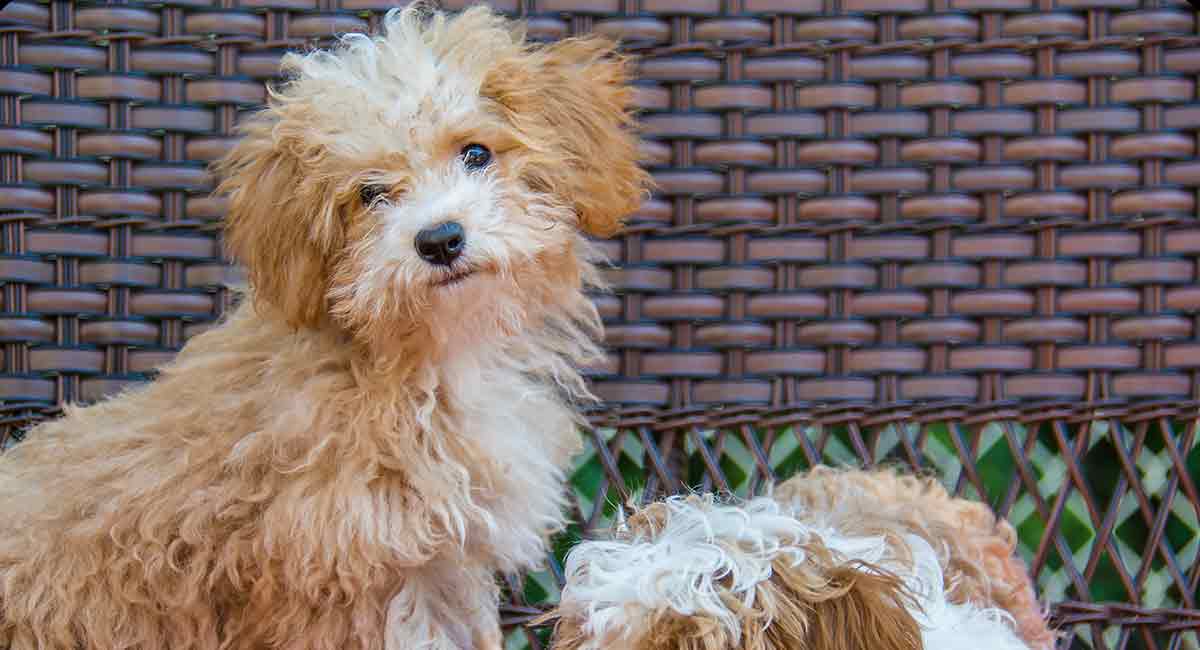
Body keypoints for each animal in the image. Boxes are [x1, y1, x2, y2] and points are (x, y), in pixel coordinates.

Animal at [0, 5, 648, 650]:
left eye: (476, 153)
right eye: (370, 193)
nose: (440, 239)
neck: (424, 363)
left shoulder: (445, 563)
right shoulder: (335, 575)